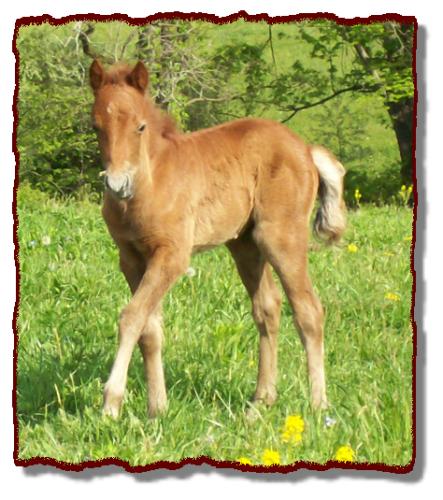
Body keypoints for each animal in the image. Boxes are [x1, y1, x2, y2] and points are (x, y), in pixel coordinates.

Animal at [89, 60, 346, 418]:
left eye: (140, 127)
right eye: (96, 127)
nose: (117, 184)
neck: (149, 185)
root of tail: (306, 150)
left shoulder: (173, 256)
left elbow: (131, 317)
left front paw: (111, 403)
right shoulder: (130, 258)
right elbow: (149, 328)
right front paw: (158, 408)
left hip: (281, 237)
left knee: (308, 310)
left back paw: (318, 405)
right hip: (245, 245)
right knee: (268, 308)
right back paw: (260, 402)